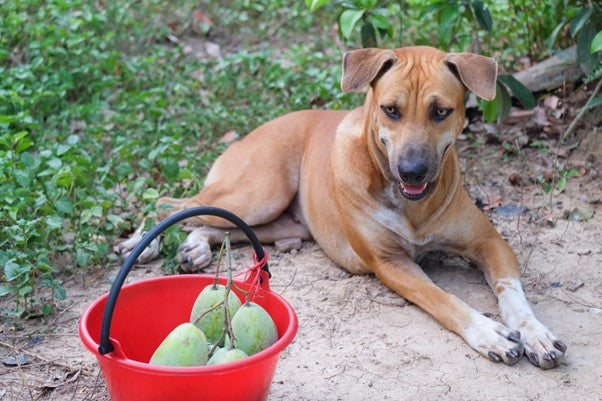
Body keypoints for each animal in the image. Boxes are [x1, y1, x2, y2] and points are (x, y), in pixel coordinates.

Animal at [119, 45, 564, 368]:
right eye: (390, 110)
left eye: (441, 111)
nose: (412, 171)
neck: (409, 204)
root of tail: (253, 131)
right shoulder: (390, 263)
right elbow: (445, 300)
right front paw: (488, 332)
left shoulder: (489, 242)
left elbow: (513, 294)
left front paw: (536, 333)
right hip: (259, 192)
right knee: (169, 204)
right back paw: (142, 243)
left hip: (282, 223)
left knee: (213, 223)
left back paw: (195, 244)